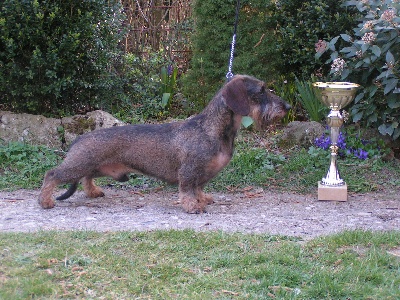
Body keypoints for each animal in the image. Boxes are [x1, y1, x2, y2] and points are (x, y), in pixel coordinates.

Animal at [39, 76, 290, 214]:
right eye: (261, 90)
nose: (287, 106)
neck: (212, 128)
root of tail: (79, 138)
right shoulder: (189, 171)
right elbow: (188, 189)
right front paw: (192, 206)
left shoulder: (201, 174)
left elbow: (199, 188)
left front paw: (202, 198)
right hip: (80, 164)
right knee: (52, 174)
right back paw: (45, 200)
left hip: (98, 167)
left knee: (86, 177)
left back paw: (93, 191)